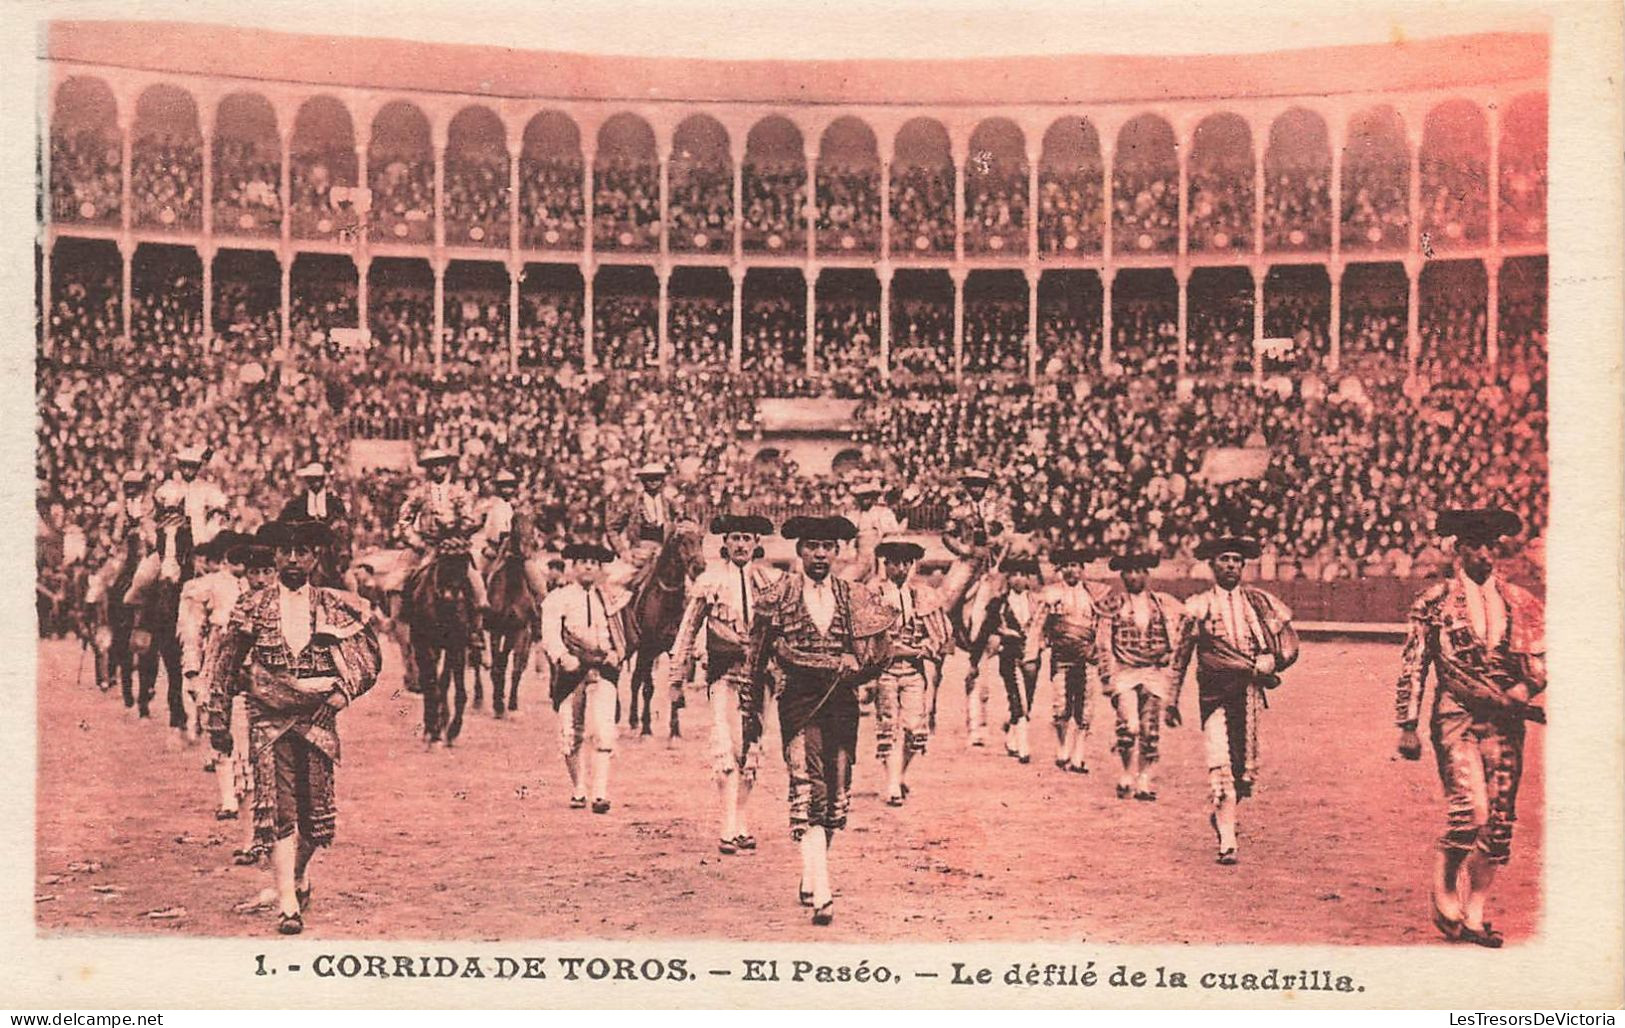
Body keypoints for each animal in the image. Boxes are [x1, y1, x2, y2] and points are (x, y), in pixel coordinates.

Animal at [404, 545, 477, 747]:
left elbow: (453, 687)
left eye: (465, 563)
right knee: (429, 681)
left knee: (442, 680)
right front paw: (434, 729)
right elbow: (433, 685)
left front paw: (452, 728)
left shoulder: (456, 646)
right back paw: (431, 727)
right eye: (444, 560)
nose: (450, 597)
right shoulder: (428, 646)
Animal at [614, 519, 705, 737]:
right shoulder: (647, 648)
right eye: (680, 539)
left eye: (700, 538)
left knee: (635, 679)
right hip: (629, 647)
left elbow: (674, 685)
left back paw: (633, 720)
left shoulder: (675, 650)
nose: (699, 567)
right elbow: (648, 688)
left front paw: (675, 729)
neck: (667, 601)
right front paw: (647, 727)